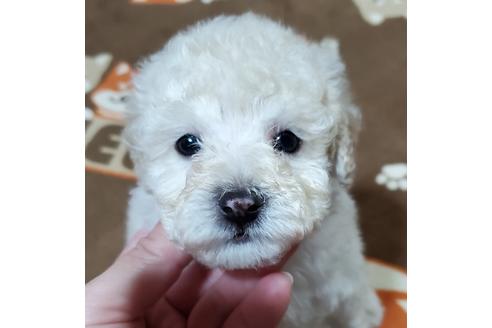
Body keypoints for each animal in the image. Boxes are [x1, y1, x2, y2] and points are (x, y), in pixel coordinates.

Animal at [124, 13, 384, 328]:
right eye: (186, 144)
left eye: (288, 140)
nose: (240, 206)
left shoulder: (341, 266)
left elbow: (351, 303)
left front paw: (368, 312)